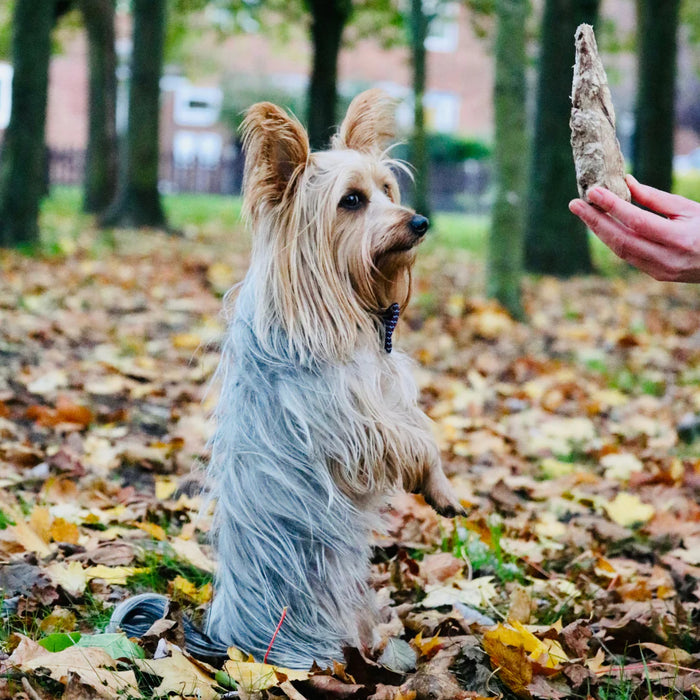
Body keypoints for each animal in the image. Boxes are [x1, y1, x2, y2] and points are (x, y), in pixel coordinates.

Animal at [109, 90, 462, 668]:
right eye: (351, 201)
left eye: (387, 190)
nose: (420, 222)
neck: (349, 302)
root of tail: (226, 638)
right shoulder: (349, 422)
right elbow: (413, 440)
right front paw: (436, 482)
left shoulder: (386, 392)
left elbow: (419, 425)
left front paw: (443, 486)